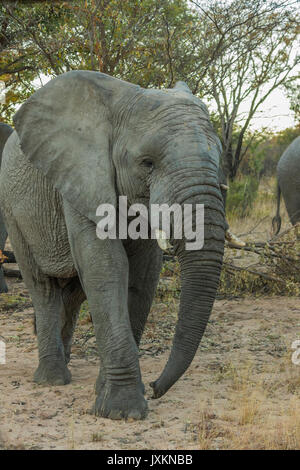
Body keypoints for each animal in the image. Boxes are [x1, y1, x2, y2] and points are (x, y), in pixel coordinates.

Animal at [0, 71, 226, 420]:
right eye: (147, 163)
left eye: (219, 160)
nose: (157, 388)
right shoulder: (81, 177)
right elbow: (106, 266)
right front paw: (123, 412)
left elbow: (143, 274)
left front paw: (105, 392)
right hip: (13, 212)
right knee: (44, 288)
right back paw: (52, 379)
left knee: (74, 291)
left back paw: (65, 361)